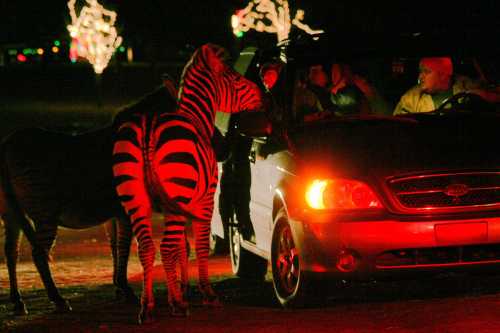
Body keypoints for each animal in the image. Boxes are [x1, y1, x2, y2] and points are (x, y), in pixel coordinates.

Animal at [0, 77, 178, 314]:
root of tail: (6, 145)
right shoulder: (125, 210)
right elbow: (124, 247)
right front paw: (126, 290)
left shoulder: (113, 213)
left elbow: (115, 248)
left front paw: (118, 288)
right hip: (44, 211)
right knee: (38, 254)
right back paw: (58, 300)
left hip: (11, 213)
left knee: (11, 252)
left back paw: (18, 301)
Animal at [112, 42, 264, 322]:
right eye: (236, 79)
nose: (262, 93)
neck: (197, 118)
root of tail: (148, 127)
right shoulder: (204, 200)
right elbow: (200, 245)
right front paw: (205, 294)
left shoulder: (176, 206)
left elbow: (182, 249)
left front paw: (182, 290)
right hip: (176, 191)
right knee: (165, 246)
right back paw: (177, 306)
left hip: (135, 199)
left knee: (147, 247)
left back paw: (147, 306)